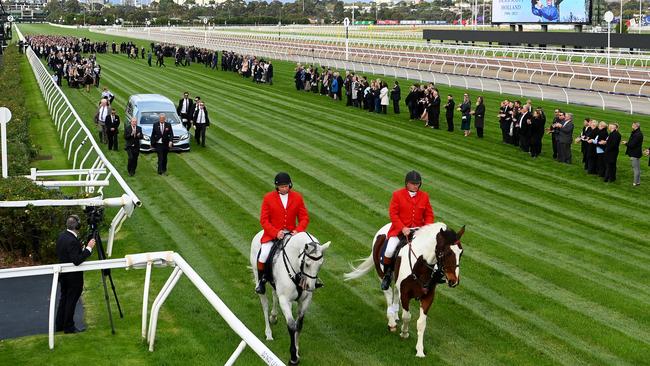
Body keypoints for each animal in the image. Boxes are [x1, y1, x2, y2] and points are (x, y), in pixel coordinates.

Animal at [249, 233, 330, 364]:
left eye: (320, 264)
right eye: (307, 264)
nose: (310, 287)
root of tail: (259, 234)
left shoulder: (305, 300)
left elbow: (299, 324)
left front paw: (296, 351)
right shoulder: (285, 300)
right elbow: (292, 326)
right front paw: (293, 357)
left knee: (274, 295)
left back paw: (273, 317)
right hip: (258, 278)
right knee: (265, 305)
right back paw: (268, 333)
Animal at [344, 223, 460, 358]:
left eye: (461, 253)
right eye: (447, 252)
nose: (454, 281)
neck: (420, 265)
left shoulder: (428, 296)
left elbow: (421, 323)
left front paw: (420, 351)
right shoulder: (405, 293)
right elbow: (407, 316)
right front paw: (404, 333)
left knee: (395, 292)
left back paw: (394, 314)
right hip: (381, 273)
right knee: (389, 294)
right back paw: (391, 321)